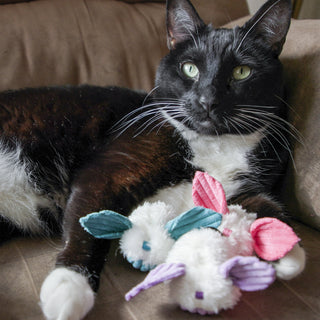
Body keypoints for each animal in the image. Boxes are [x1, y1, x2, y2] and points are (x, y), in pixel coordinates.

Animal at [0, 0, 304, 318]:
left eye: (242, 72)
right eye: (190, 69)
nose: (207, 100)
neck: (214, 145)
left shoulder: (237, 192)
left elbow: (266, 205)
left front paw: (287, 249)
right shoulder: (107, 171)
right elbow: (86, 225)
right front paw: (69, 285)